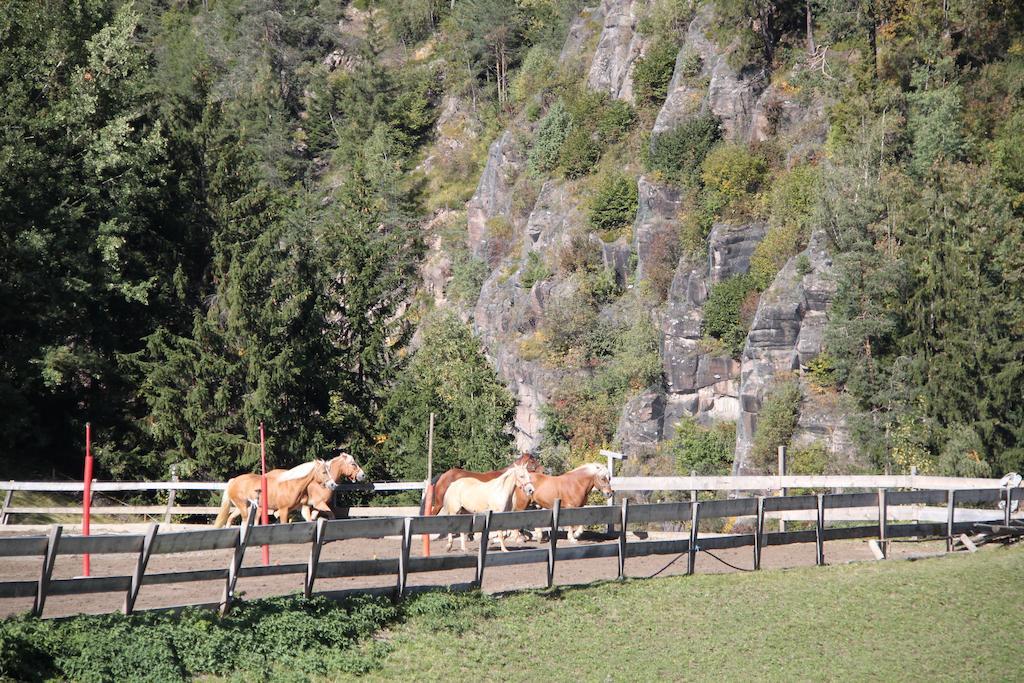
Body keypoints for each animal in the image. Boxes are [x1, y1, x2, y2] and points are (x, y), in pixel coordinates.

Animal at [209, 454, 366, 528]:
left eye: (328, 470)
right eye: (353, 464)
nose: (362, 475)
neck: (292, 484)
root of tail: (233, 481)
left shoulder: (305, 507)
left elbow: (311, 519)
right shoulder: (315, 504)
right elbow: (330, 515)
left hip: (245, 506)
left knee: (231, 518)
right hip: (245, 507)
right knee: (246, 521)